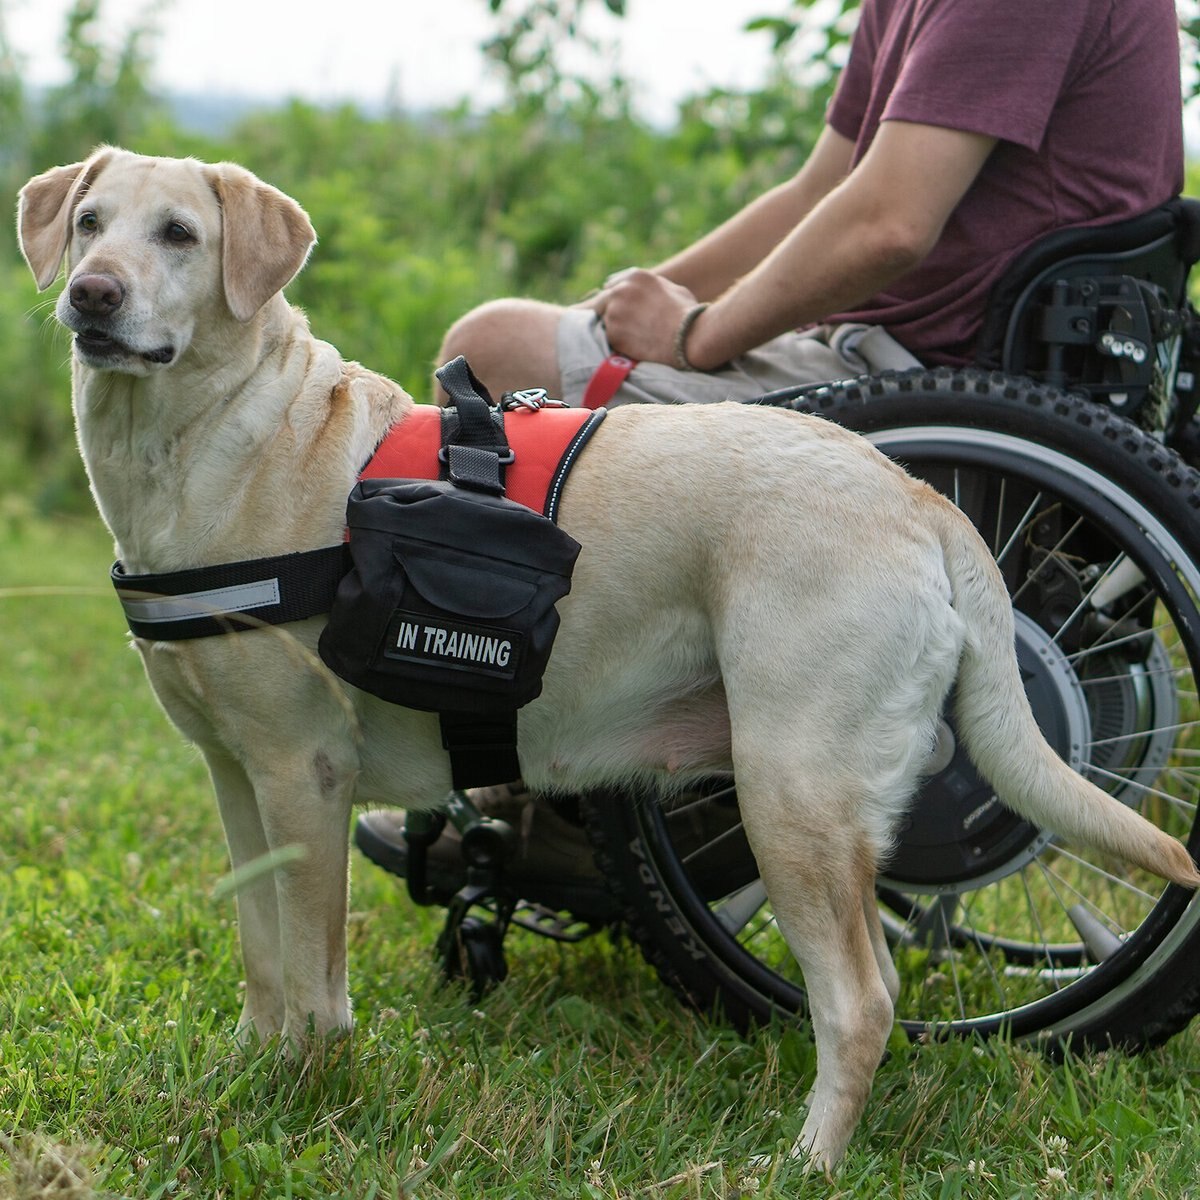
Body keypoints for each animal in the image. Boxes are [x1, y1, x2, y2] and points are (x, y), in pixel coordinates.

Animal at [18, 150, 1200, 1171]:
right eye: (88, 224)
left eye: (180, 235)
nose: (93, 296)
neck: (204, 443)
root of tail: (915, 494)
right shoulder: (238, 777)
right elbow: (262, 958)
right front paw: (246, 1076)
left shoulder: (305, 777)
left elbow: (314, 981)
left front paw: (306, 1100)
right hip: (829, 818)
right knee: (882, 983)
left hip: (788, 796)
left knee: (858, 1002)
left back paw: (804, 1164)